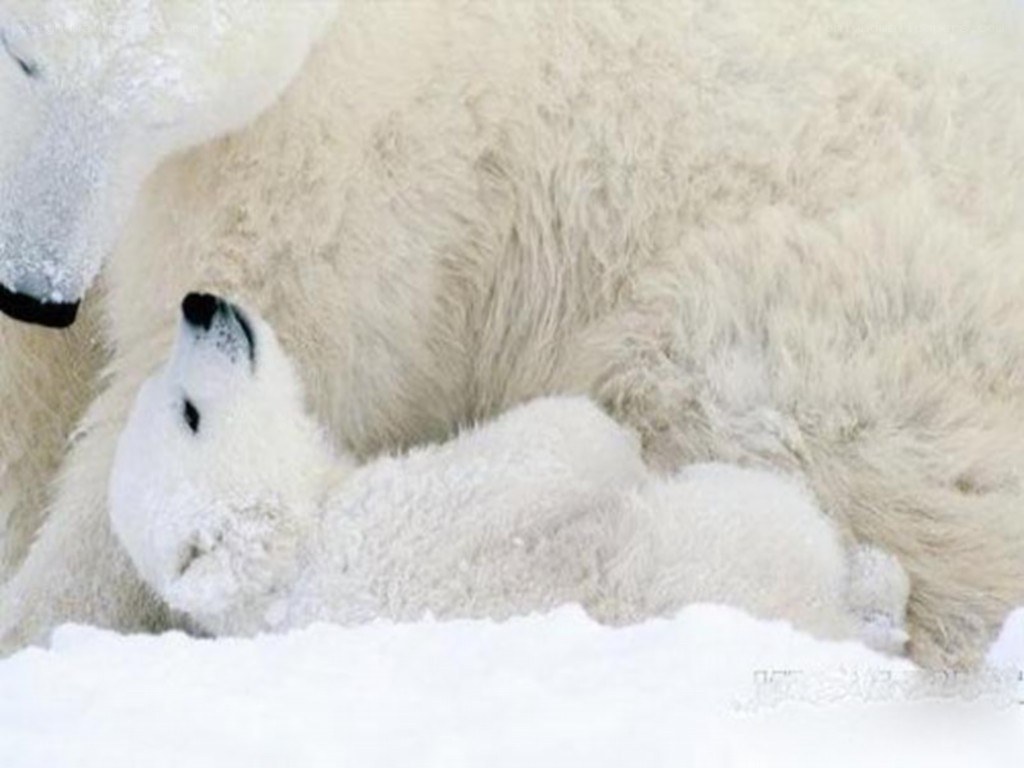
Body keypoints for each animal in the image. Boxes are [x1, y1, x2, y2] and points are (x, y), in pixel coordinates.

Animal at [109, 293, 911, 651]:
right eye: (190, 412)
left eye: (170, 397)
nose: (198, 303)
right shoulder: (395, 526)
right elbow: (547, 448)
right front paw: (609, 438)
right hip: (731, 540)